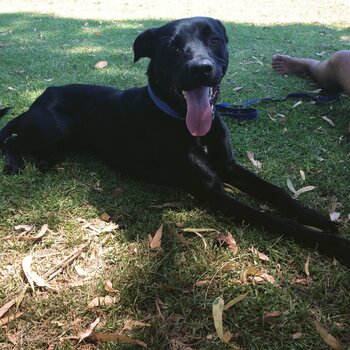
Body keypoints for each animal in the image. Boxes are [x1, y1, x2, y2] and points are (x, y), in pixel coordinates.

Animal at [0, 17, 348, 266]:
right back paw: (16, 163)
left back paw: (45, 162)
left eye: (214, 40)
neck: (187, 124)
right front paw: (336, 245)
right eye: (171, 47)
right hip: (55, 127)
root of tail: (41, 97)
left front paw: (318, 217)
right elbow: (274, 219)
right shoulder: (213, 192)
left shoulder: (228, 166)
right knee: (12, 141)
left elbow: (276, 193)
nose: (202, 68)